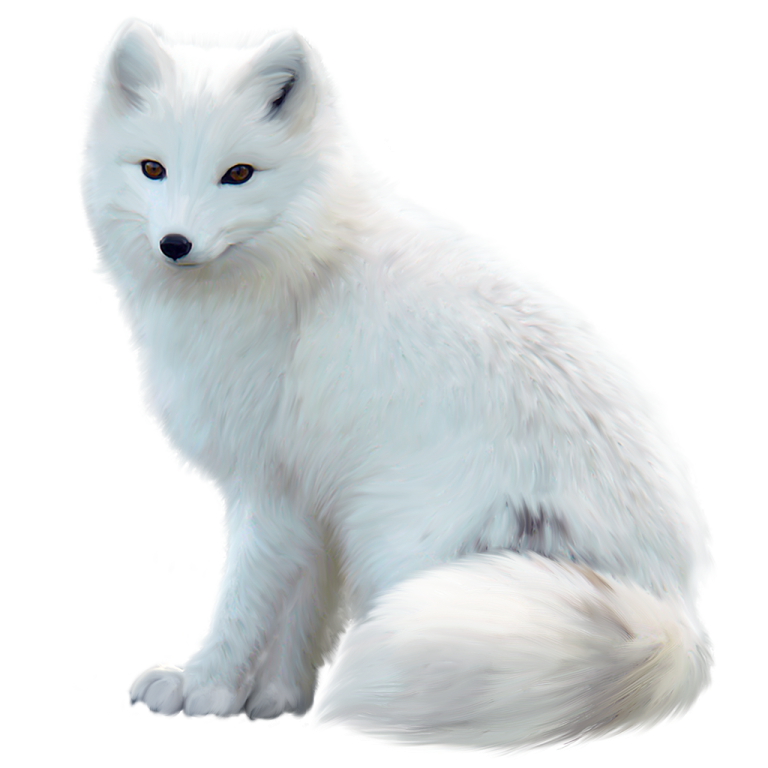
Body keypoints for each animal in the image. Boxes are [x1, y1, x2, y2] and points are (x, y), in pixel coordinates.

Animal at [77, 16, 715, 756]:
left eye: (238, 174)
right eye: (152, 168)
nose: (175, 244)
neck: (300, 266)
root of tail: (672, 615)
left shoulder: (269, 491)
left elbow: (242, 605)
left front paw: (203, 687)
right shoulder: (313, 501)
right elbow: (301, 614)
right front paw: (275, 701)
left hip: (410, 548)